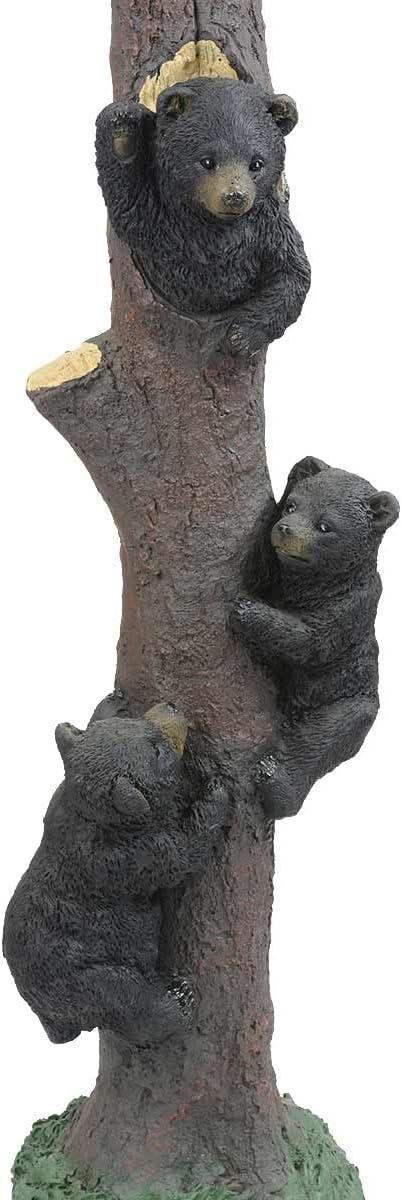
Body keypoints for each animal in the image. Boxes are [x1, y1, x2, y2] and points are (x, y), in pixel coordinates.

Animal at [3, 703, 228, 1045]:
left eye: (131, 720)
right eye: (158, 751)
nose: (171, 707)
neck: (92, 815)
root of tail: (48, 1020)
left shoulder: (59, 804)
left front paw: (106, 702)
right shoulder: (125, 857)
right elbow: (181, 854)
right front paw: (217, 792)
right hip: (81, 977)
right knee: (125, 997)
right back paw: (178, 1001)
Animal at [95, 77, 311, 358]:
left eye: (256, 163)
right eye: (207, 161)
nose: (234, 195)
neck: (213, 225)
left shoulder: (268, 225)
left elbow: (293, 272)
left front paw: (241, 336)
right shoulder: (165, 224)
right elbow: (129, 204)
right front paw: (121, 124)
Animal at [228, 457, 399, 818]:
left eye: (325, 526)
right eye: (292, 506)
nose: (285, 529)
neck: (312, 584)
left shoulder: (353, 605)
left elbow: (310, 640)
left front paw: (246, 608)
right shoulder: (279, 573)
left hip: (347, 697)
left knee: (328, 734)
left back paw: (277, 784)